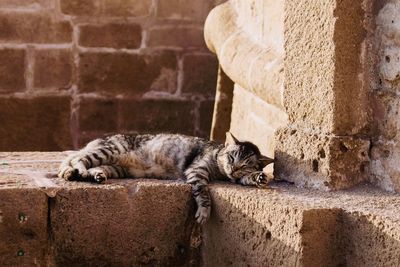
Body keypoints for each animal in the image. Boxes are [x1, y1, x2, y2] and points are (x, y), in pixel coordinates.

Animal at [57, 133, 274, 225]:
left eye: (244, 164)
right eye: (231, 157)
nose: (233, 167)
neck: (221, 172)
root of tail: (98, 140)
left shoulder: (233, 177)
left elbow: (246, 179)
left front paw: (259, 177)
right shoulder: (197, 170)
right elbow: (203, 194)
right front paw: (204, 213)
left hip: (114, 167)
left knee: (93, 167)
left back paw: (94, 176)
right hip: (108, 151)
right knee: (77, 159)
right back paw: (77, 172)